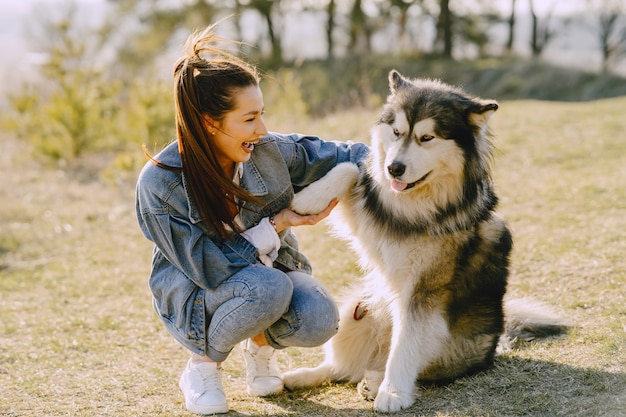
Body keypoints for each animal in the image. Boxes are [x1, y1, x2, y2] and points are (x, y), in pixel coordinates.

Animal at [282, 70, 564, 412]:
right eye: (396, 132)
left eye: (427, 138)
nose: (393, 168)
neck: (417, 206)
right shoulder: (370, 220)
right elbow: (351, 168)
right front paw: (309, 199)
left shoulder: (423, 291)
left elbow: (406, 345)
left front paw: (393, 394)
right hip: (354, 313)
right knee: (340, 368)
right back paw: (299, 377)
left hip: (443, 345)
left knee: (399, 367)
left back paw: (375, 382)